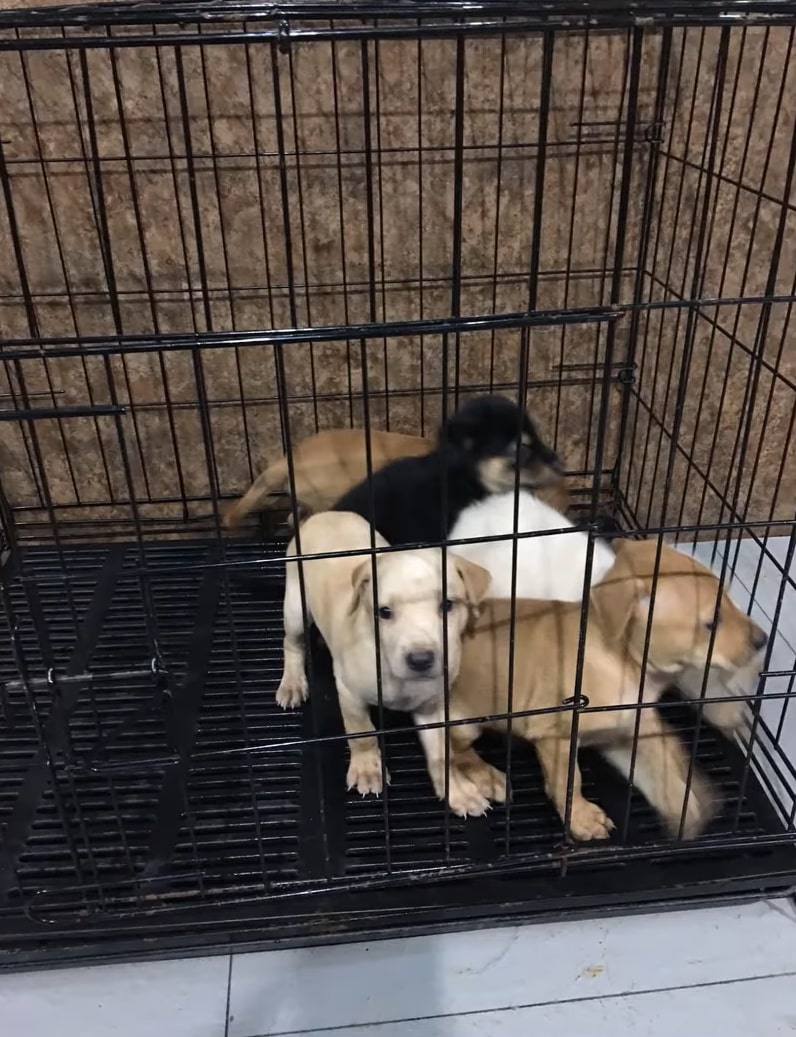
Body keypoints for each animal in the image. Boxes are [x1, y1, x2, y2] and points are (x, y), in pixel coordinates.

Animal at [277, 510, 493, 792]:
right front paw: (367, 768)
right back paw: (292, 683)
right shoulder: (350, 693)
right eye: (384, 612)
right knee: (293, 643)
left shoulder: (433, 705)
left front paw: (456, 789)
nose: (421, 659)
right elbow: (362, 732)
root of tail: (323, 515)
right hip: (295, 605)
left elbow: (440, 751)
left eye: (448, 605)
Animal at [418, 543, 766, 842]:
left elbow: (657, 766)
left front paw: (683, 803)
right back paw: (485, 774)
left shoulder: (620, 734)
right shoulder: (556, 736)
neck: (622, 664)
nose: (763, 640)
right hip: (466, 724)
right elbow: (568, 781)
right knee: (457, 751)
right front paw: (582, 819)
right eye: (712, 622)